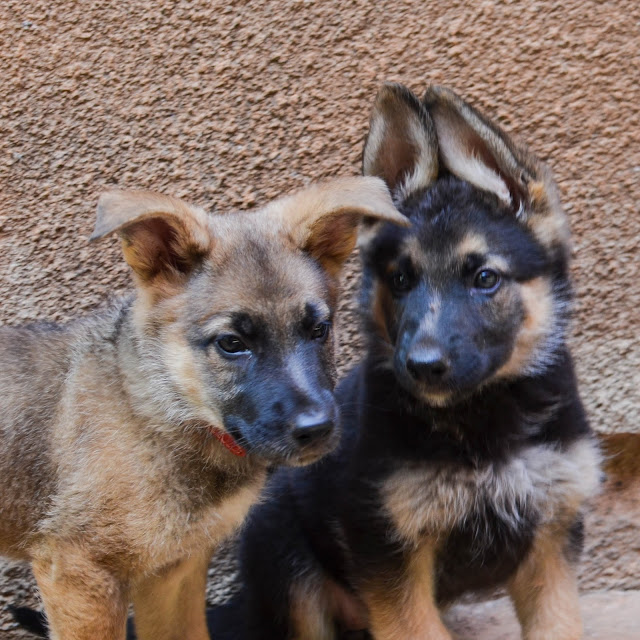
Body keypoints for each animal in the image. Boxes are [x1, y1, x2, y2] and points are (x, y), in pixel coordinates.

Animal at [0, 176, 406, 640]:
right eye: (231, 343)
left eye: (319, 330)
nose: (318, 429)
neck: (166, 411)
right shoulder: (79, 572)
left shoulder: (173, 574)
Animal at [202, 84, 602, 640]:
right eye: (399, 280)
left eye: (484, 278)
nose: (422, 365)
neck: (482, 423)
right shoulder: (389, 548)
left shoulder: (552, 536)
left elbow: (558, 623)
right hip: (286, 558)